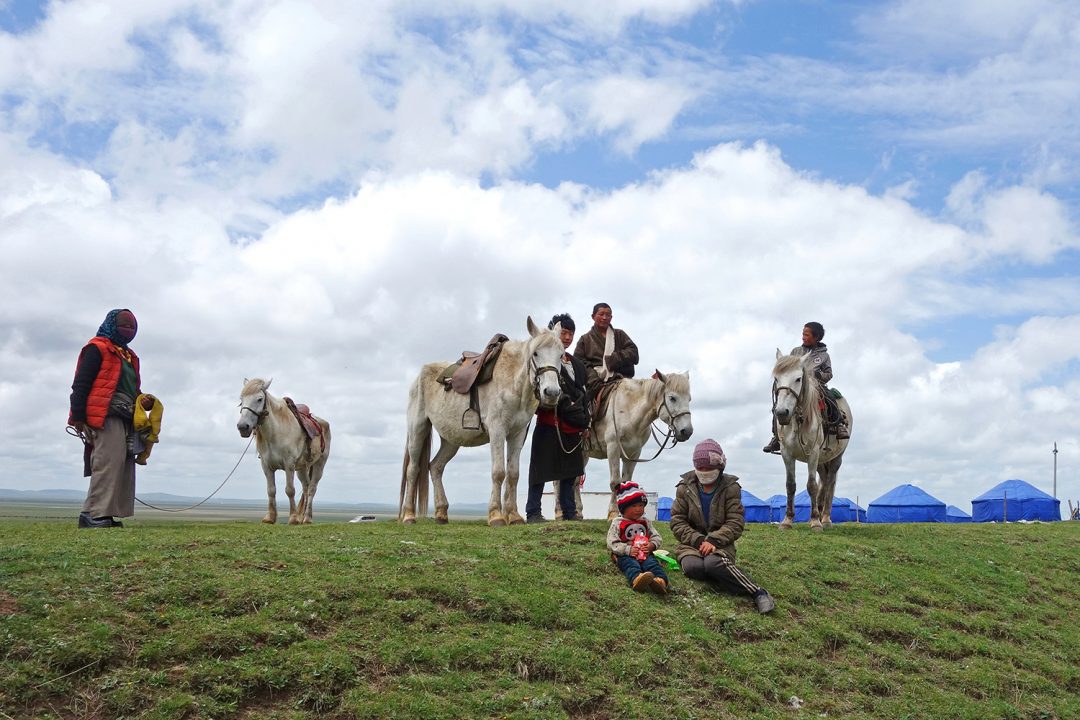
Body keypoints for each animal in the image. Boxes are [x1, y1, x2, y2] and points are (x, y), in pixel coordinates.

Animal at [237, 379, 330, 526]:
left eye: (259, 399)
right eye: (241, 400)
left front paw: (293, 518)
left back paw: (307, 518)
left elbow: (290, 490)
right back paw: (302, 517)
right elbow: (271, 490)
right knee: (305, 487)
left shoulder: (289, 465)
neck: (276, 432)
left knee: (312, 489)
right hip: (302, 468)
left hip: (319, 465)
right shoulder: (266, 466)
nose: (242, 427)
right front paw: (270, 517)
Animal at [399, 317, 565, 526]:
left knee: (435, 467)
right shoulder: (497, 431)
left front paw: (514, 516)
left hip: (451, 440)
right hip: (418, 429)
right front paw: (496, 516)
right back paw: (409, 515)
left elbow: (513, 474)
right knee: (413, 470)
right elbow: (499, 472)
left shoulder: (517, 434)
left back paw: (441, 513)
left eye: (561, 355)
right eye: (535, 353)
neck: (513, 382)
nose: (551, 393)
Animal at [557, 371, 691, 518]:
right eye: (672, 398)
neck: (629, 411)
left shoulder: (634, 453)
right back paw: (560, 512)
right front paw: (613, 513)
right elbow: (615, 482)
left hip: (583, 454)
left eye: (689, 399)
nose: (687, 431)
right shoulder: (613, 448)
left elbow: (625, 481)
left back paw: (578, 512)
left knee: (574, 481)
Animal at [773, 351, 855, 533]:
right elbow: (790, 485)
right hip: (821, 461)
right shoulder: (787, 454)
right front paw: (787, 520)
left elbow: (811, 485)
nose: (782, 413)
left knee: (830, 482)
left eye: (798, 378)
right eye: (776, 379)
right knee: (823, 481)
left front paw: (815, 522)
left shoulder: (813, 453)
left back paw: (825, 518)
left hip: (835, 458)